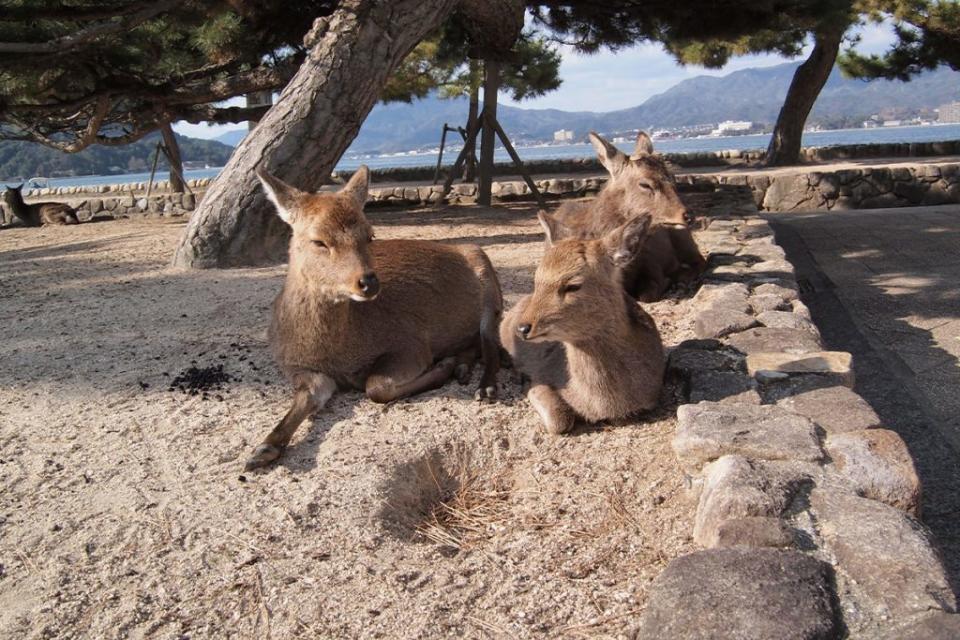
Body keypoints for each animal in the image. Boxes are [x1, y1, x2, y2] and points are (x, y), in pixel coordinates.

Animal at [246, 162, 502, 468]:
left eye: (370, 235)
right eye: (318, 241)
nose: (368, 282)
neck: (337, 354)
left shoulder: (411, 344)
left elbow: (375, 386)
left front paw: (443, 367)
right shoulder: (298, 368)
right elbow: (306, 398)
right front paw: (264, 448)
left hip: (489, 284)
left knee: (491, 339)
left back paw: (483, 386)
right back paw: (463, 365)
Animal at [548, 130, 704, 302]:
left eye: (672, 178)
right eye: (645, 184)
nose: (687, 215)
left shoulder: (652, 264)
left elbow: (646, 295)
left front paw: (670, 280)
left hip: (684, 239)